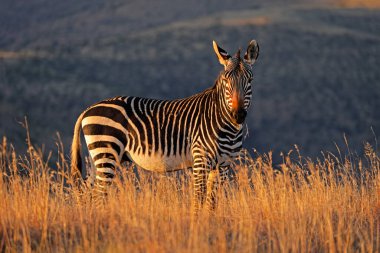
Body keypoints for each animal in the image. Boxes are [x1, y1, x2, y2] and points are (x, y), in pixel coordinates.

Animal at [70, 40, 260, 211]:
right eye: (226, 80)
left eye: (250, 80)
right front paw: (197, 227)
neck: (225, 123)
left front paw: (209, 225)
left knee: (86, 190)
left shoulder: (224, 165)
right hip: (106, 152)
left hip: (97, 157)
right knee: (98, 195)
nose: (238, 115)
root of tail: (88, 110)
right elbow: (198, 200)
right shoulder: (201, 159)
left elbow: (212, 202)